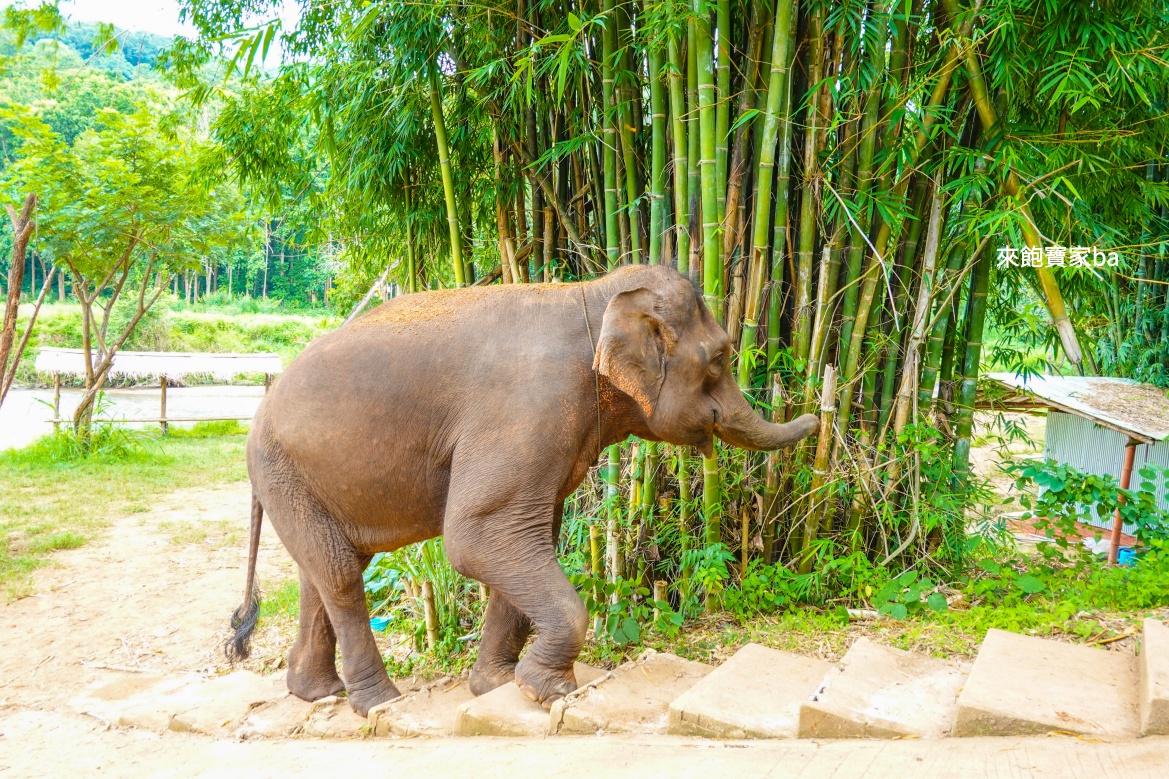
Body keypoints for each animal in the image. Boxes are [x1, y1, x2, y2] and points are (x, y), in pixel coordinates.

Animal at [226, 263, 818, 716]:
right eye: (719, 358)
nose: (819, 415)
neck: (593, 295)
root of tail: (260, 408)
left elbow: (529, 536)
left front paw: (496, 686)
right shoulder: (529, 410)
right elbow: (478, 536)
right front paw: (547, 691)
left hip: (297, 480)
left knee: (322, 570)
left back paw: (315, 692)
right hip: (282, 470)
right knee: (343, 575)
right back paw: (380, 703)